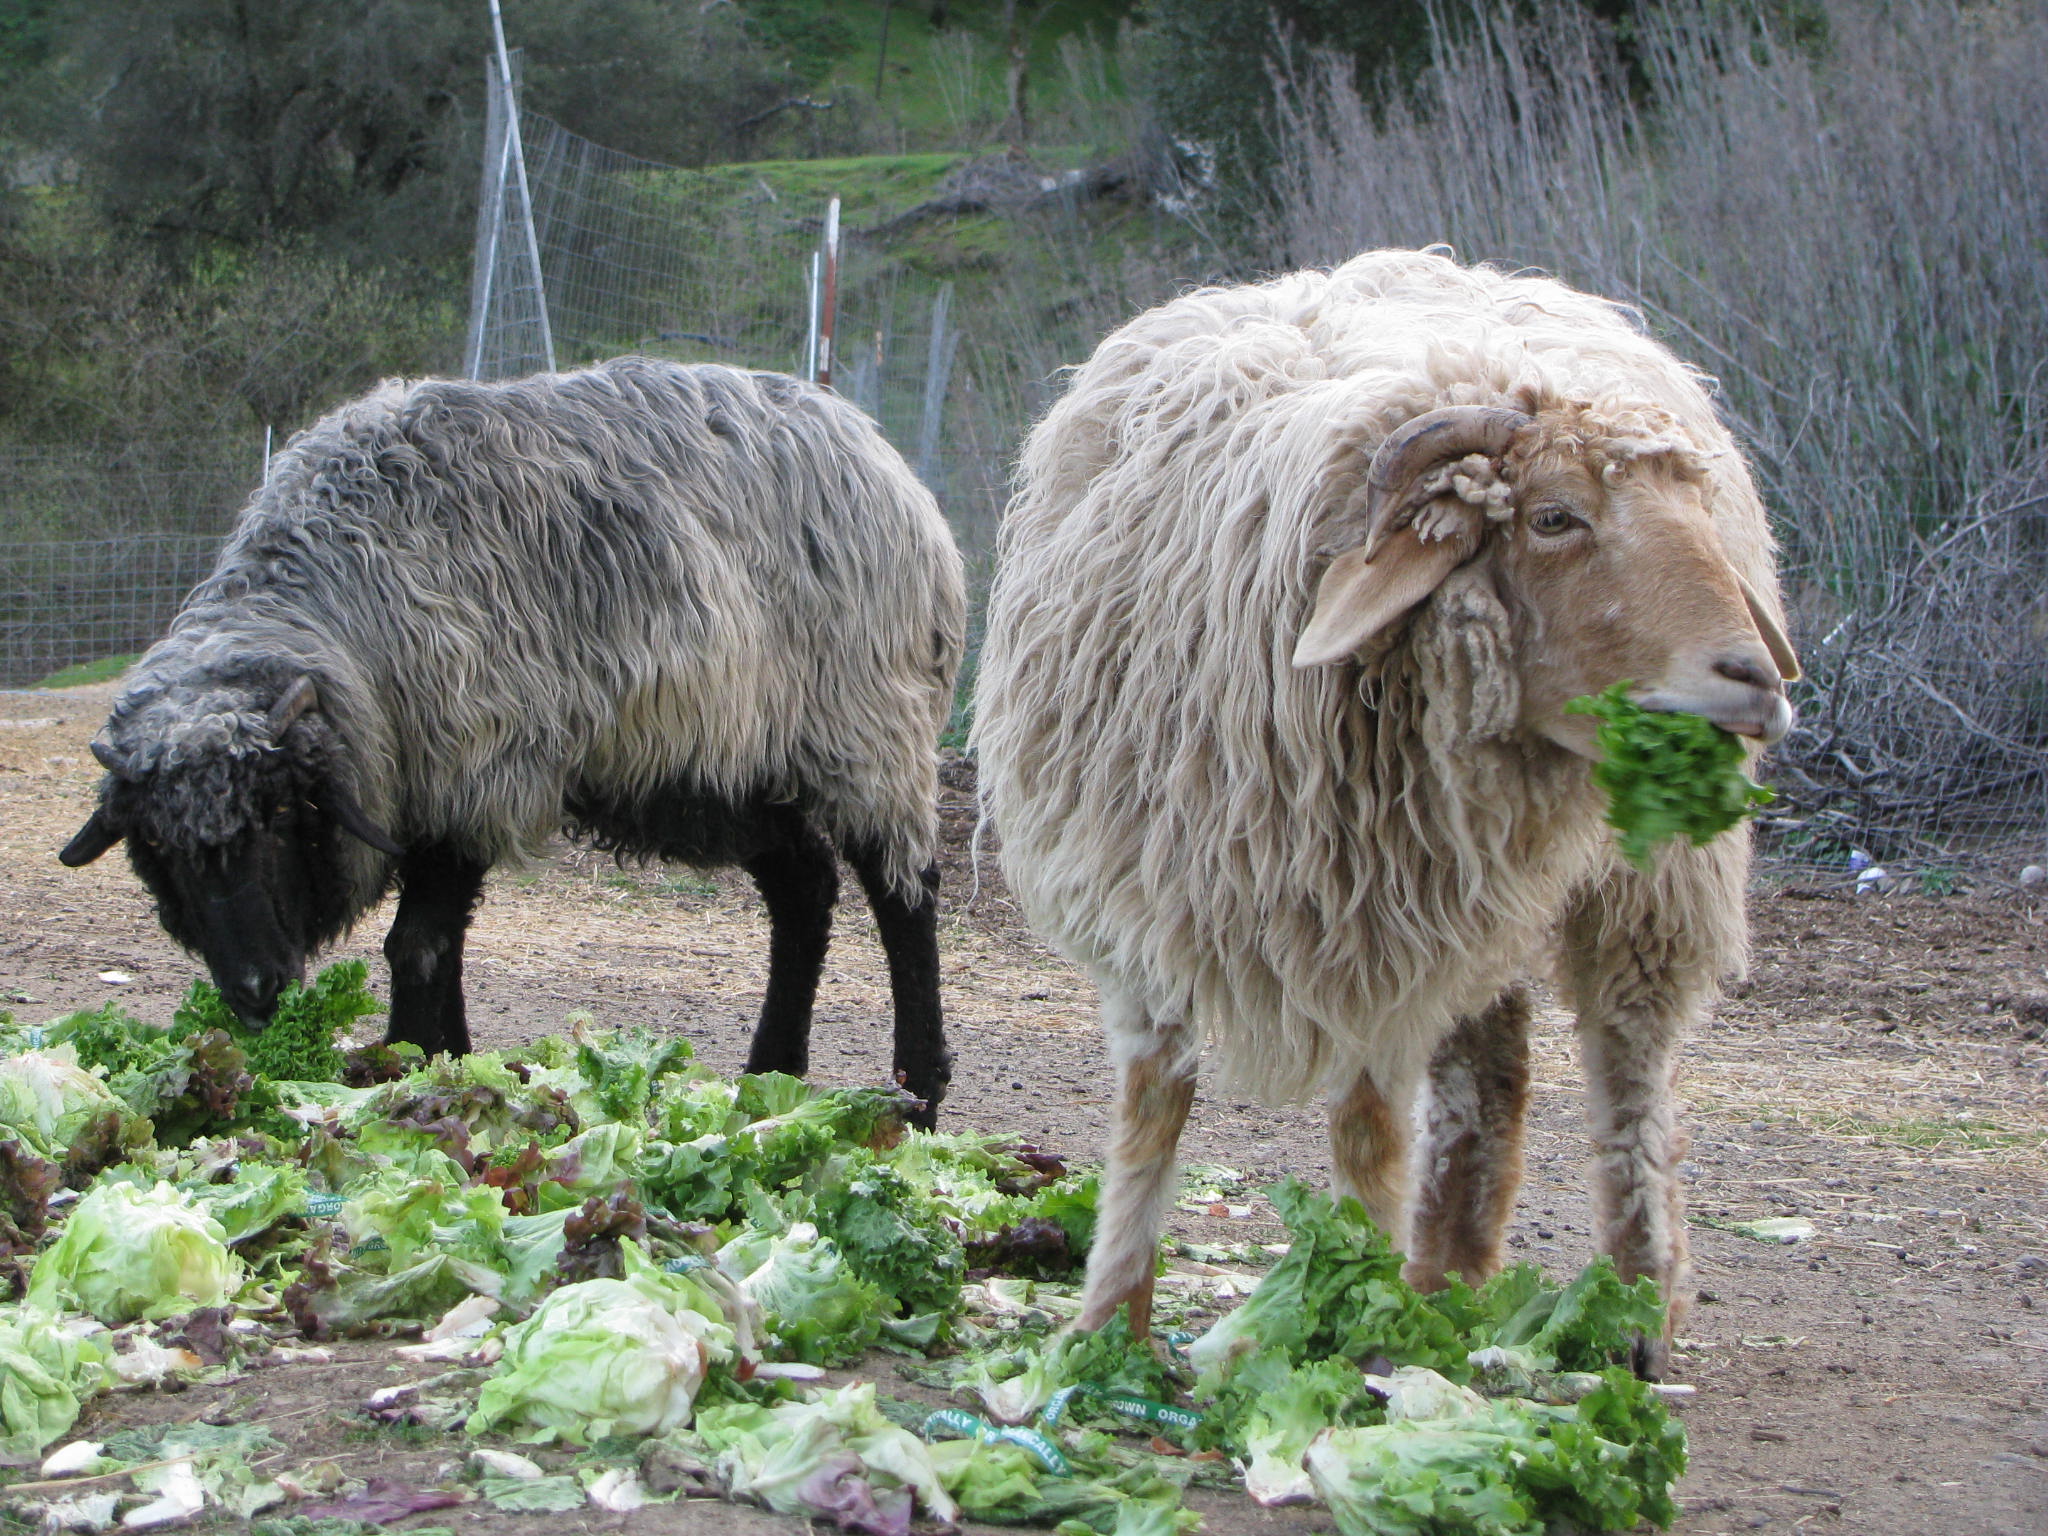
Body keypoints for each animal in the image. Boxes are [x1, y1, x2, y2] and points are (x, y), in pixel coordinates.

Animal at [970, 246, 1794, 1376]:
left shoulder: (1369, 935)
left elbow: (1366, 1126)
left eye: (1691, 514)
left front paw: (1346, 1313)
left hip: (1644, 881)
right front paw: (1104, 1331)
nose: (1754, 681)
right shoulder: (1151, 893)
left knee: (1628, 1062)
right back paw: (1445, 1279)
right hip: (1461, 879)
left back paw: (1632, 1308)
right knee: (1491, 1071)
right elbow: (1152, 1108)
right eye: (1553, 516)